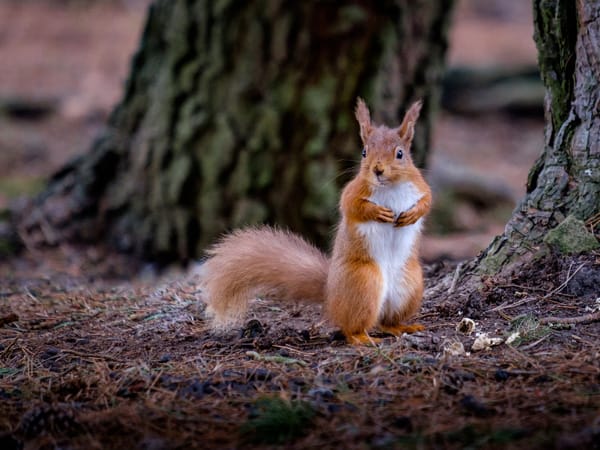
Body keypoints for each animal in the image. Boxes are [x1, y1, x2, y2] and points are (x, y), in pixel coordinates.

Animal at [202, 97, 432, 344]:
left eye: (400, 154)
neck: (389, 186)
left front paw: (412, 214)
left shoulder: (420, 186)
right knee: (351, 326)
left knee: (386, 321)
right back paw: (361, 338)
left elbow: (427, 201)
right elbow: (352, 206)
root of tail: (330, 295)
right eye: (364, 152)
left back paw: (401, 327)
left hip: (410, 285)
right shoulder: (353, 191)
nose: (377, 170)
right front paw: (377, 212)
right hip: (364, 283)